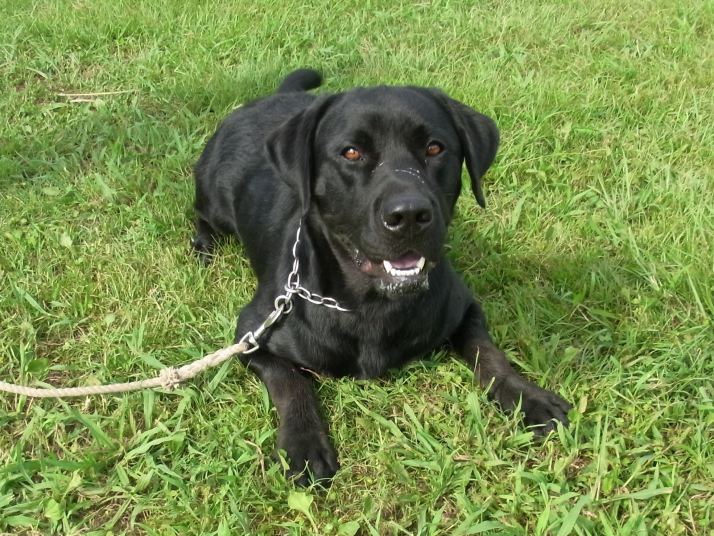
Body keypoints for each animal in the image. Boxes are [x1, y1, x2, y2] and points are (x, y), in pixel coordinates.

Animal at [192, 69, 571, 486]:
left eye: (435, 148)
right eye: (351, 153)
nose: (408, 215)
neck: (370, 303)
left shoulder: (465, 306)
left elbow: (488, 353)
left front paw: (527, 396)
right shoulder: (252, 333)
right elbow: (291, 383)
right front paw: (304, 443)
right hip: (214, 199)